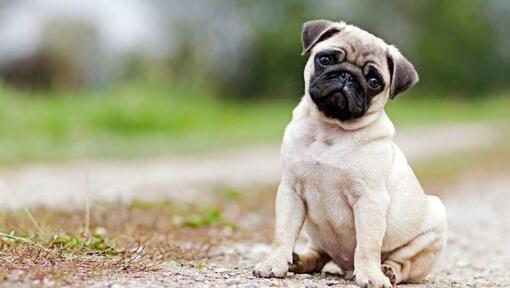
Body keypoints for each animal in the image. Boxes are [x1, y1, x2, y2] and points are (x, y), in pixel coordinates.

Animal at [254, 19, 446, 286]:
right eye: (325, 59)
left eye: (374, 81)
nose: (347, 75)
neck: (330, 129)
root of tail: (344, 267)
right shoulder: (290, 191)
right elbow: (283, 233)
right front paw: (274, 264)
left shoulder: (370, 200)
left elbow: (367, 245)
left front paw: (371, 276)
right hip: (318, 237)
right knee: (318, 254)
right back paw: (299, 260)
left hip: (435, 221)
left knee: (402, 263)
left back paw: (387, 271)